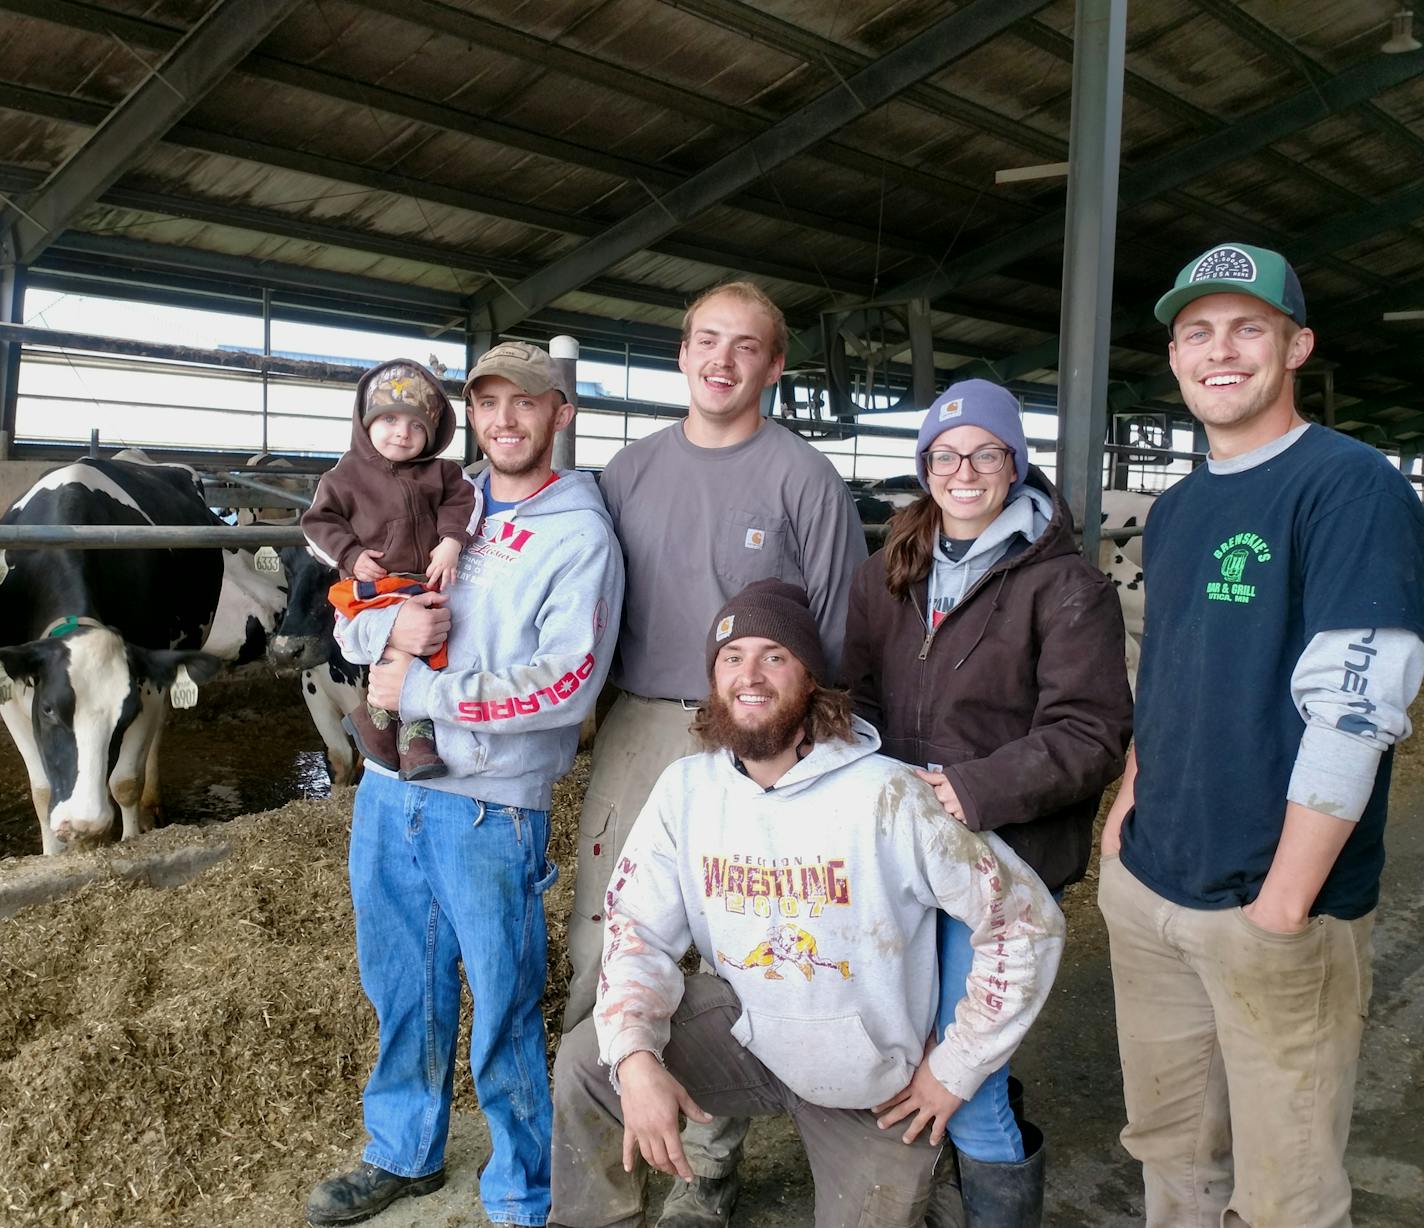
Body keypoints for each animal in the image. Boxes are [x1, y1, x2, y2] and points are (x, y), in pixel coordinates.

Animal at [0, 458, 286, 854]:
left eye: (126, 715)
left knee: (153, 739)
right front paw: (54, 854)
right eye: (48, 710)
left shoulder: (146, 682)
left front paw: (130, 837)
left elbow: (125, 782)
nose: (84, 824)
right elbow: (42, 792)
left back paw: (153, 804)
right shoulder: (11, 687)